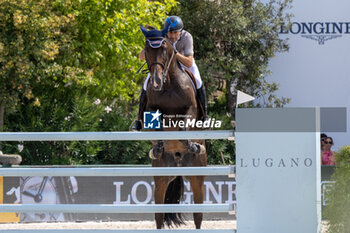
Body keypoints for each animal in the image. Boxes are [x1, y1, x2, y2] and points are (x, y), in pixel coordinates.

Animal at [141, 24, 208, 228]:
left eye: (164, 49)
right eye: (146, 50)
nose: (156, 82)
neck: (169, 83)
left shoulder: (190, 109)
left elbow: (183, 128)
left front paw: (193, 145)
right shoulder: (152, 108)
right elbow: (157, 126)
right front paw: (158, 147)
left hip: (197, 178)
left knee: (198, 216)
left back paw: (196, 147)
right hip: (162, 178)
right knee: (159, 216)